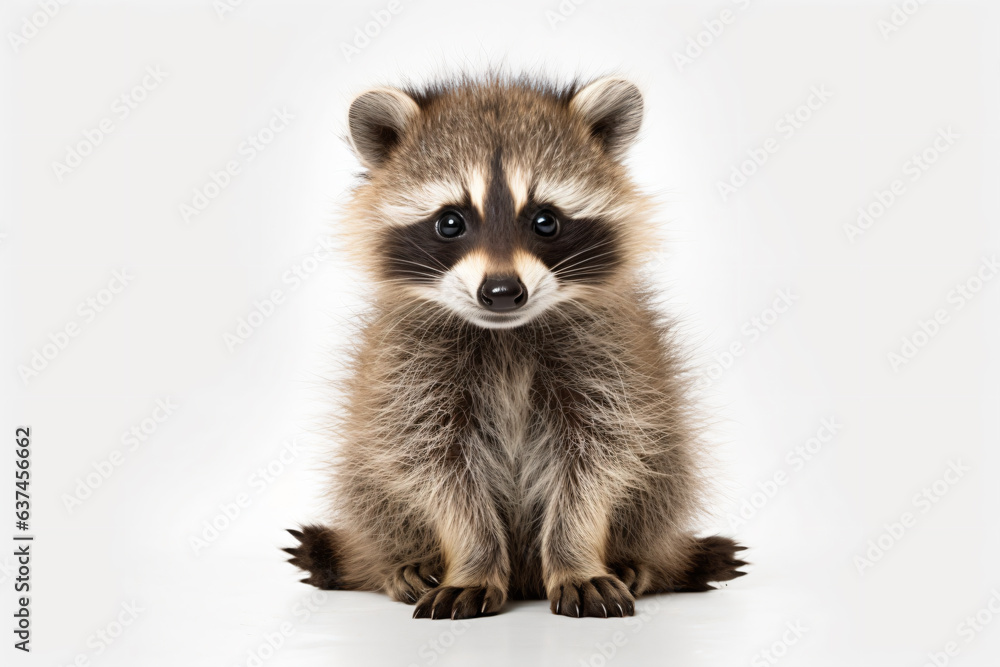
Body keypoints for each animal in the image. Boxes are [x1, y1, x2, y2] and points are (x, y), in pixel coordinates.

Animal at [285, 73, 747, 619]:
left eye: (545, 220)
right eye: (451, 222)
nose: (503, 291)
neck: (505, 333)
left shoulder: (609, 358)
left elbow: (601, 460)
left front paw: (576, 556)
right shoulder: (408, 370)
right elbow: (434, 467)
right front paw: (471, 559)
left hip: (664, 478)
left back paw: (636, 561)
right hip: (367, 481)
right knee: (374, 494)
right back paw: (405, 561)